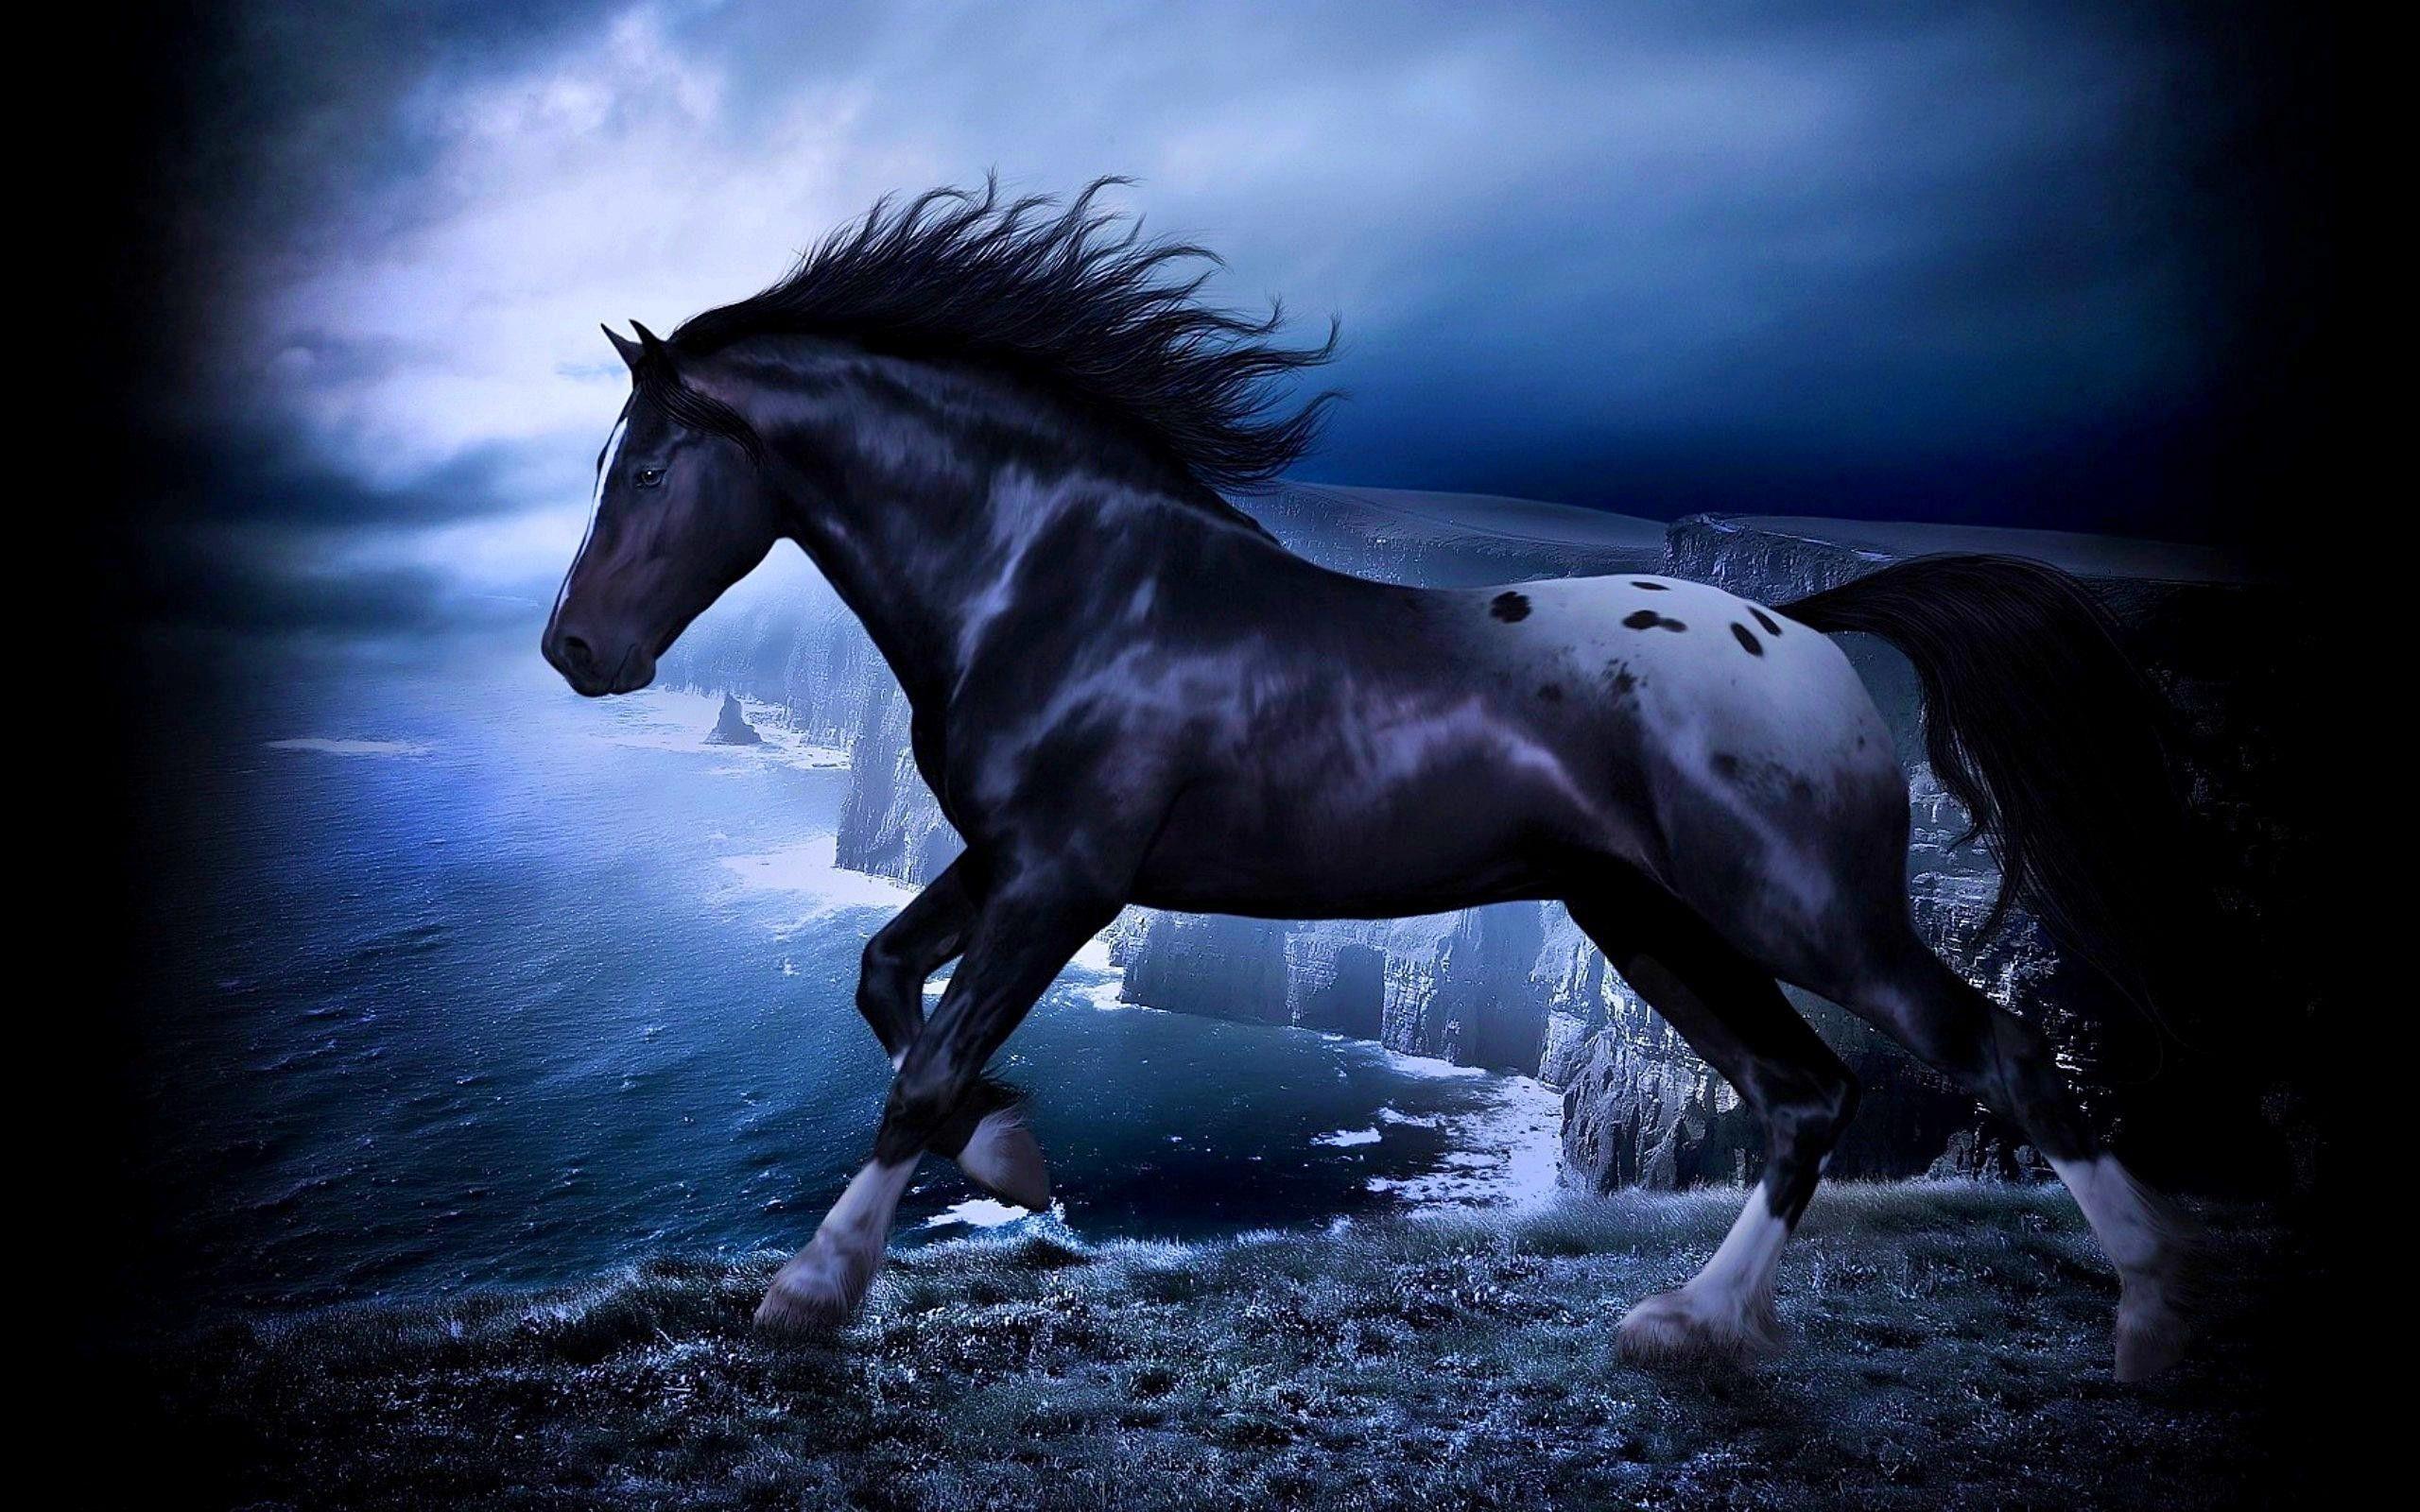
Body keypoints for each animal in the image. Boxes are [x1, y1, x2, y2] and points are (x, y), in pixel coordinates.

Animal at [543, 179, 2195, 1379]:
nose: (571, 651)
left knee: (1997, 1053)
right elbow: (886, 978)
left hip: (1801, 912)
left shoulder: (1066, 878)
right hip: (1651, 925)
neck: (1063, 578)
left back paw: (2152, 1326)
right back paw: (1692, 1329)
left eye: (647, 466)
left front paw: (815, 1289)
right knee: (1804, 1094)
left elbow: (927, 1063)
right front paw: (1014, 1159)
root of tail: (1800, 622)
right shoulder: (1008, 859)